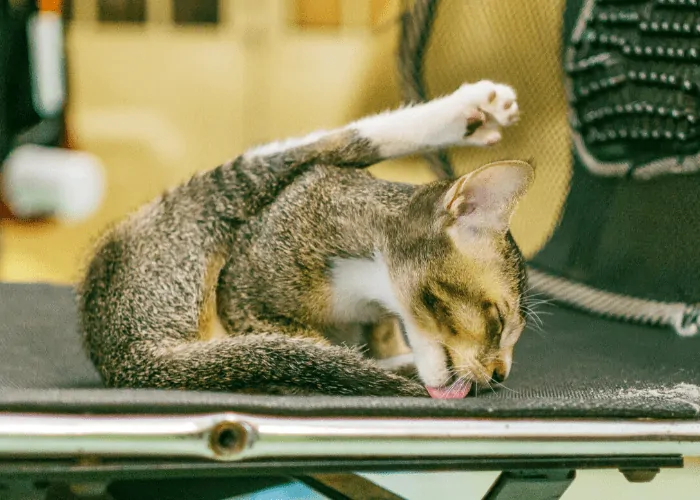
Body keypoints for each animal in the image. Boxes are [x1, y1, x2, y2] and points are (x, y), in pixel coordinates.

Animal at [78, 80, 532, 398]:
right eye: (497, 321)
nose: (501, 374)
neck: (366, 293)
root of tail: (126, 357)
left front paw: (386, 355)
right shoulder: (245, 294)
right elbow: (307, 345)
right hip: (222, 195)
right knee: (334, 142)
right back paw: (471, 112)